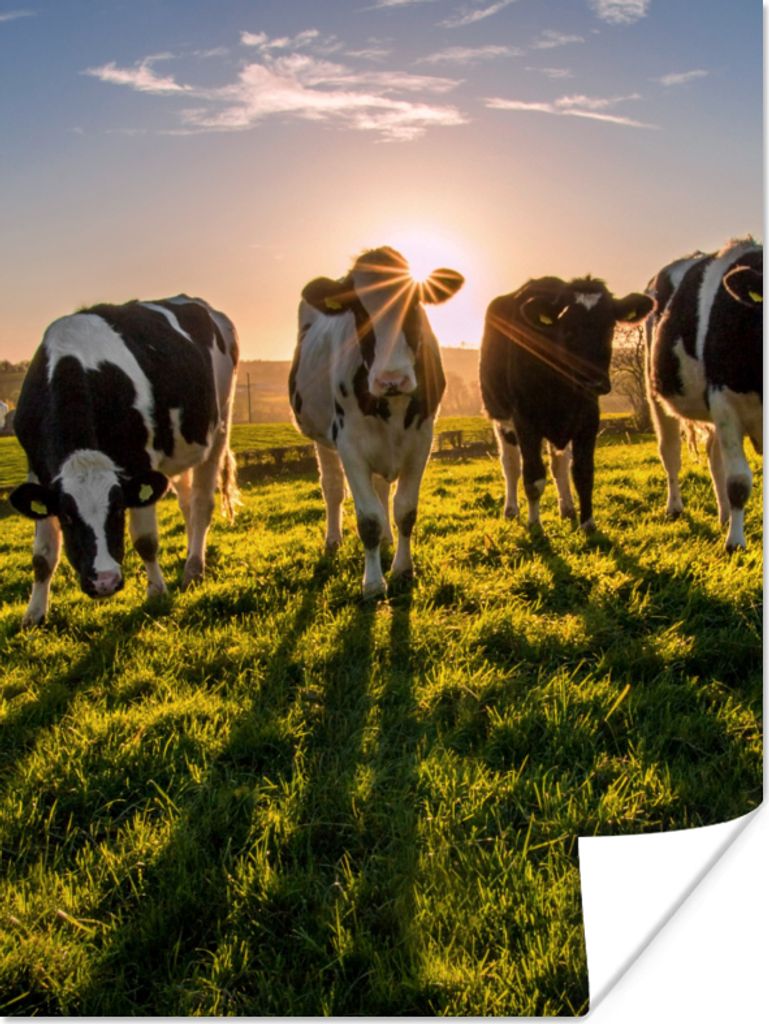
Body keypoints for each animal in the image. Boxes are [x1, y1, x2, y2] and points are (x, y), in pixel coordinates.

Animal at [9, 295, 239, 626]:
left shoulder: (139, 462)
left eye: (118, 509)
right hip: (179, 450)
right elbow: (42, 554)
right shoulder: (39, 472)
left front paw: (156, 592)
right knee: (186, 502)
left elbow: (145, 540)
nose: (104, 581)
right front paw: (34, 614)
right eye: (67, 516)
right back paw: (189, 553)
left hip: (220, 424)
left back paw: (194, 567)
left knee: (201, 503)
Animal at [289, 246, 463, 598]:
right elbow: (368, 518)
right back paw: (333, 540)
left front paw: (403, 569)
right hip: (321, 437)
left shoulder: (421, 441)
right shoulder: (349, 445)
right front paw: (372, 583)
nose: (391, 379)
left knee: (383, 489)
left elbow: (405, 510)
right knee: (332, 488)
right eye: (358, 311)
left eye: (415, 304)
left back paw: (386, 540)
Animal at [480, 275, 654, 531]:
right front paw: (535, 525)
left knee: (559, 465)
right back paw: (511, 510)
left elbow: (583, 473)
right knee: (511, 465)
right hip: (500, 417)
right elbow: (533, 477)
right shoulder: (525, 421)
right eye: (569, 329)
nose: (595, 381)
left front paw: (588, 524)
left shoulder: (588, 419)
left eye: (609, 327)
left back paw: (567, 507)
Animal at [645, 237, 763, 551]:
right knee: (670, 453)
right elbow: (738, 482)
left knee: (714, 457)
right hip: (657, 396)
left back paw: (724, 516)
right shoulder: (725, 402)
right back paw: (675, 506)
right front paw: (735, 542)